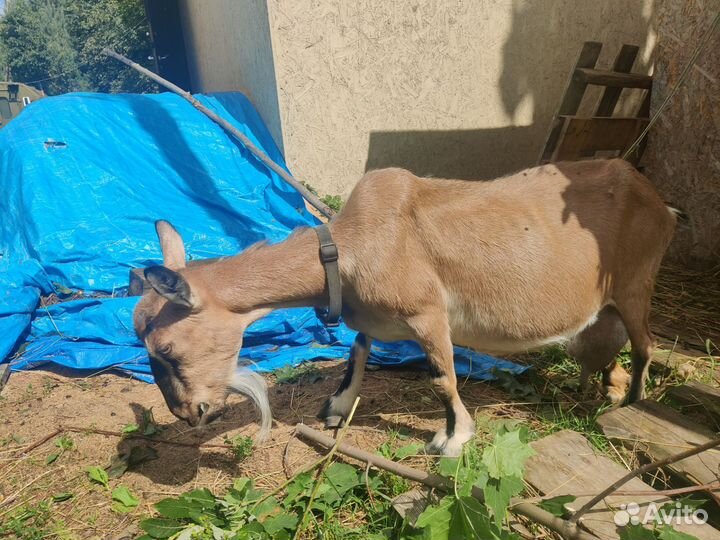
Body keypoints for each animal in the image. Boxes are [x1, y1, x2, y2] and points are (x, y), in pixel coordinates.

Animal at [133, 158, 676, 456]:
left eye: (168, 348)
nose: (188, 413)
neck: (351, 245)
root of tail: (659, 201)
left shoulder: (428, 313)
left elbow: (442, 378)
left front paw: (452, 439)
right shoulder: (376, 317)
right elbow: (357, 351)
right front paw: (336, 409)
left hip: (637, 281)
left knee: (645, 343)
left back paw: (634, 402)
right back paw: (609, 387)